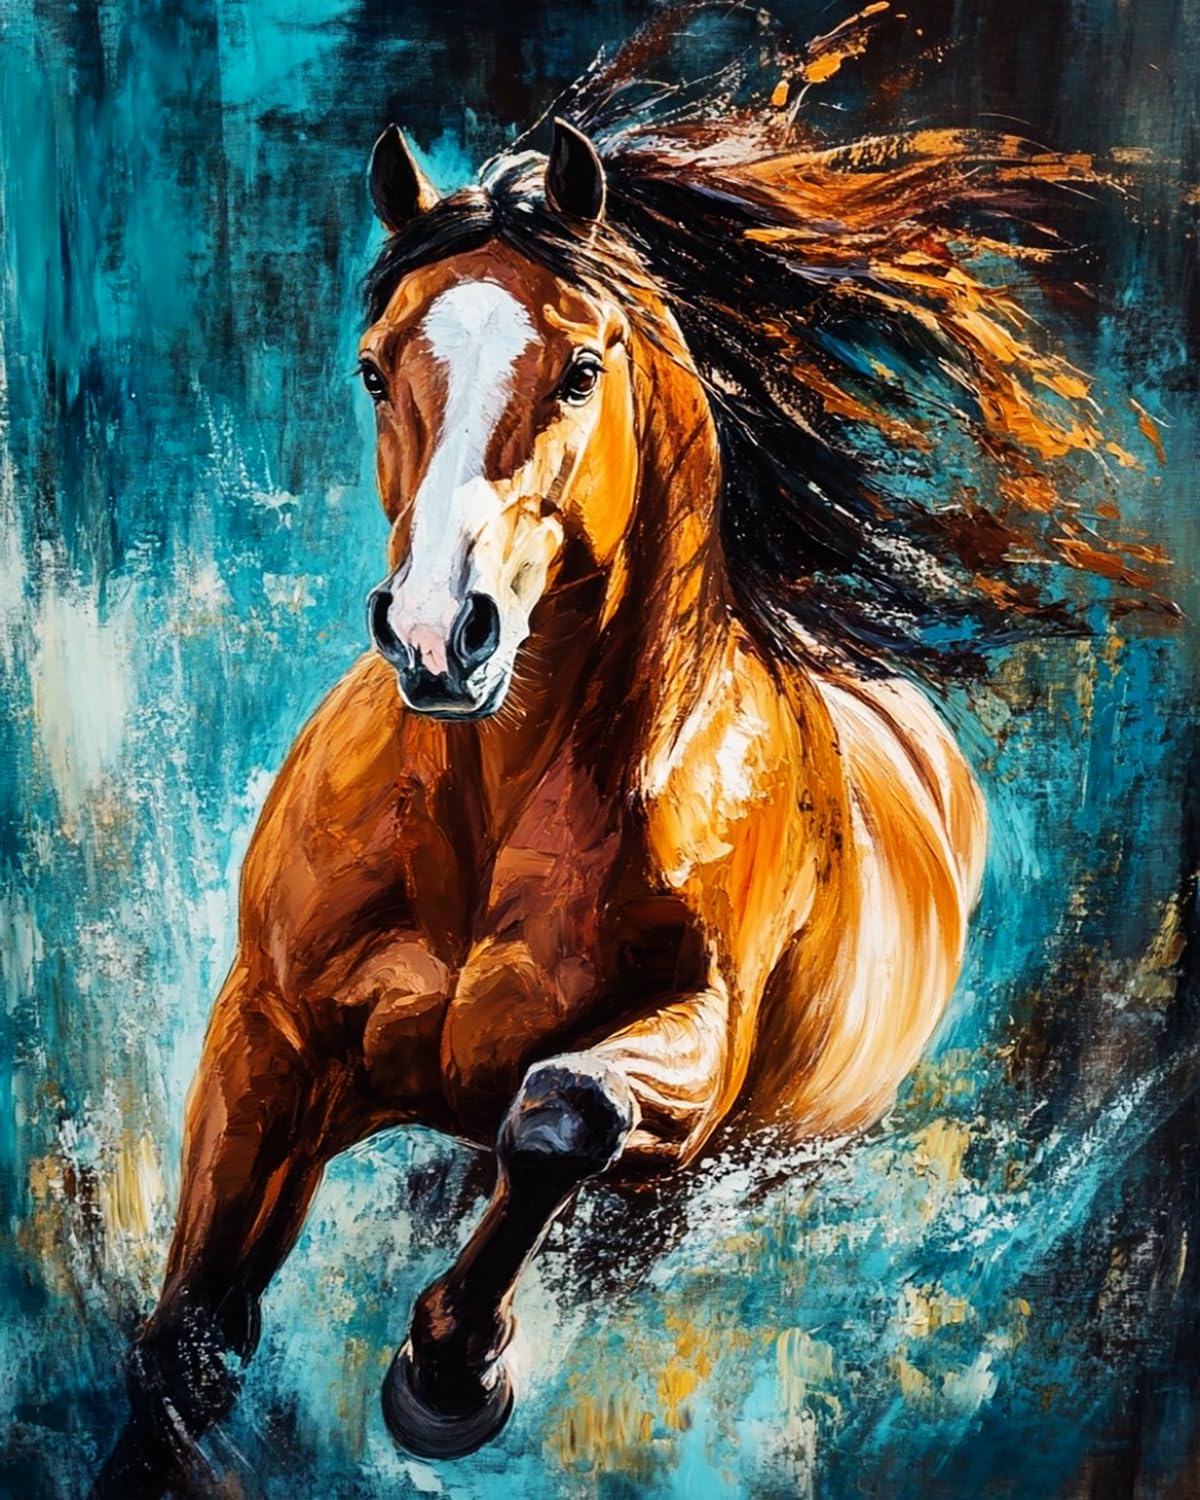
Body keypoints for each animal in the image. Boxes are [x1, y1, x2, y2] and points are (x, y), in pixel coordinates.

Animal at [94, 11, 1171, 1491]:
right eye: (375, 368)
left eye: (581, 370)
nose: (437, 637)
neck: (487, 815)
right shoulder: (269, 1039)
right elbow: (188, 1340)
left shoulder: (689, 1063)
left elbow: (561, 1115)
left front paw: (449, 1374)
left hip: (706, 1185)